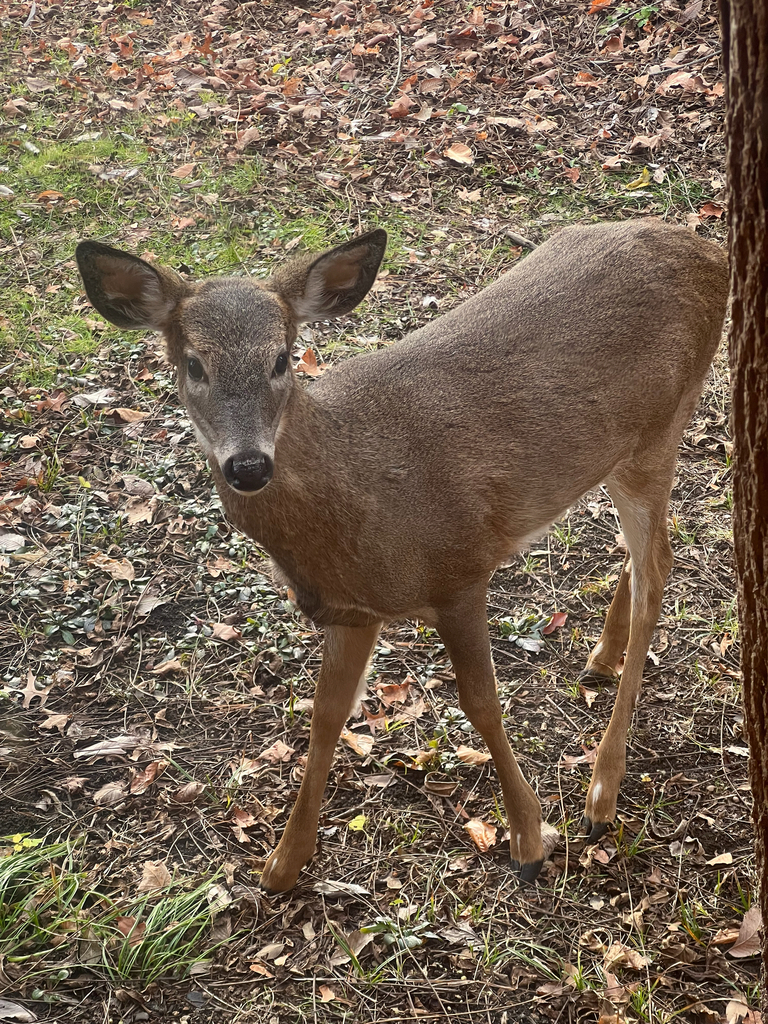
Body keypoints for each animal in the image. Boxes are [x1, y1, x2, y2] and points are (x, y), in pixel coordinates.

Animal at [75, 220, 729, 892]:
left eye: (282, 357)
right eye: (192, 363)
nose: (249, 466)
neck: (353, 501)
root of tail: (708, 249)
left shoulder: (459, 567)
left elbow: (481, 704)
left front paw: (529, 840)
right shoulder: (352, 611)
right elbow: (326, 714)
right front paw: (283, 863)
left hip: (658, 431)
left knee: (659, 568)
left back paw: (602, 791)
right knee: (641, 558)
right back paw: (600, 657)